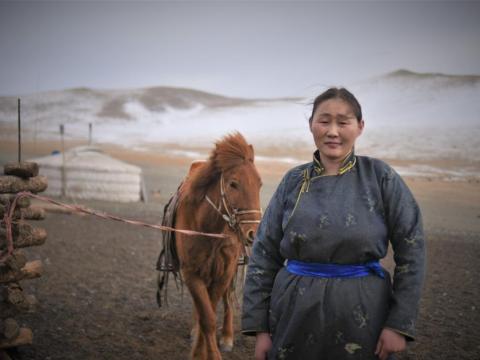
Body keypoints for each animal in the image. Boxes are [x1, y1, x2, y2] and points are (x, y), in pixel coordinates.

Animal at [169, 133, 260, 360]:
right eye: (233, 184)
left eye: (260, 183)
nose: (253, 233)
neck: (206, 227)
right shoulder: (191, 273)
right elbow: (206, 317)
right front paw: (200, 352)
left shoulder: (224, 273)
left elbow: (211, 309)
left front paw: (206, 350)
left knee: (227, 301)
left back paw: (227, 337)